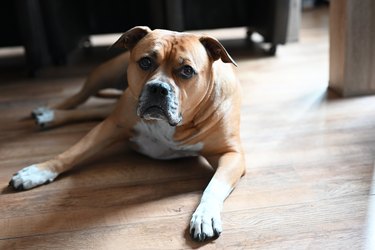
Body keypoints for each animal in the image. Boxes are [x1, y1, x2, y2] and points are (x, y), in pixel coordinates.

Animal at [8, 26, 247, 241]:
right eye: (145, 62)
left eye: (187, 70)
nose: (158, 88)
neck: (170, 126)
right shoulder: (110, 127)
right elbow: (72, 153)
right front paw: (37, 172)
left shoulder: (231, 155)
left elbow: (214, 185)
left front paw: (205, 216)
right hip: (105, 73)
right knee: (78, 97)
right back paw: (49, 112)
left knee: (94, 110)